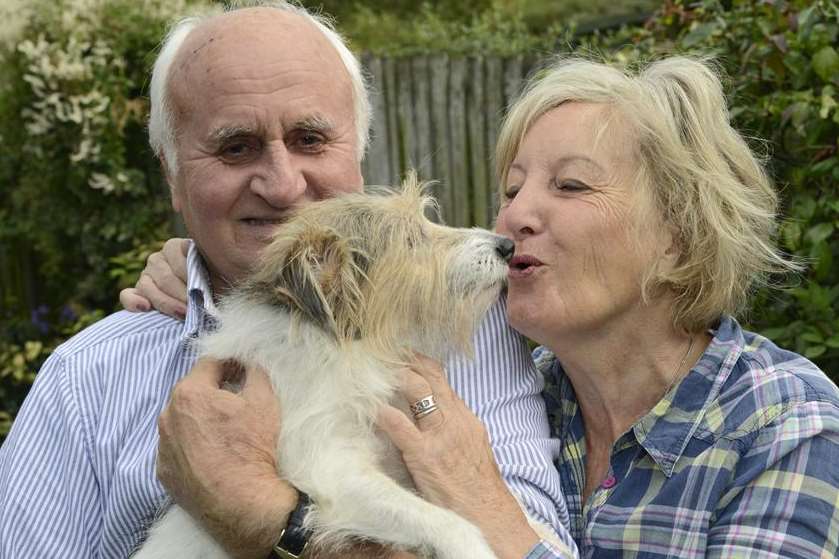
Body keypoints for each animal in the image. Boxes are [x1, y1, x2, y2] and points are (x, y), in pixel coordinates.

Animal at [136, 179, 520, 559]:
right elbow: (446, 521)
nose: (508, 245)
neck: (348, 348)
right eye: (410, 240)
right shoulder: (329, 468)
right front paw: (474, 549)